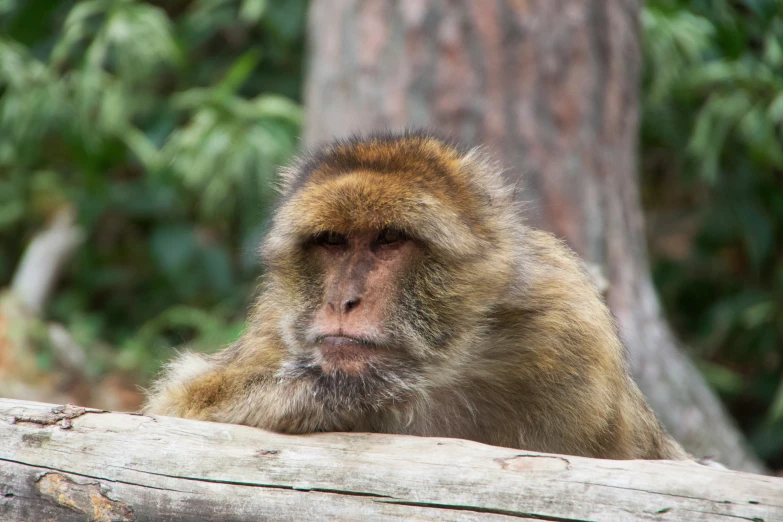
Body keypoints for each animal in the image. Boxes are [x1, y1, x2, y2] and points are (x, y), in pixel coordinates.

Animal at [144, 130, 688, 460]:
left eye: (389, 239)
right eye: (332, 242)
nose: (342, 301)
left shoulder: (570, 329)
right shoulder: (277, 326)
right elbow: (181, 403)